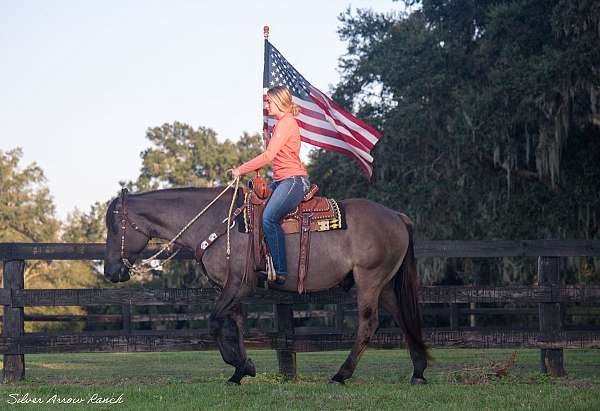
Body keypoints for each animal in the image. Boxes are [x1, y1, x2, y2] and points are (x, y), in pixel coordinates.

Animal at [104, 187, 432, 386]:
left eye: (115, 226)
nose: (111, 272)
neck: (217, 222)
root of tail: (396, 216)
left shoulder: (240, 285)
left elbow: (214, 323)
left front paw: (239, 365)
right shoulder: (231, 288)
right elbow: (235, 325)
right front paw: (241, 370)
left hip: (369, 280)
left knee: (368, 324)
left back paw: (341, 375)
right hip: (385, 285)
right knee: (403, 319)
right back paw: (418, 371)